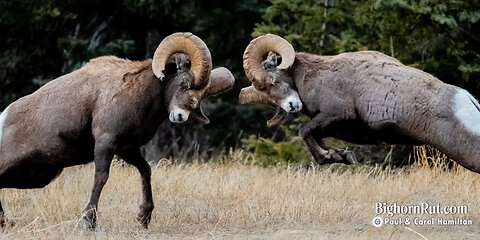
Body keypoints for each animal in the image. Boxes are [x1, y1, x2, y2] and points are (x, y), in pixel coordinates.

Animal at [0, 31, 234, 229]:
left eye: (201, 95)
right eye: (184, 84)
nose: (180, 116)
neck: (136, 93)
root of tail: (4, 117)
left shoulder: (127, 149)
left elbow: (146, 171)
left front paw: (144, 218)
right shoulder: (106, 142)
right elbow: (101, 177)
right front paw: (88, 222)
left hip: (38, 176)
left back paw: (5, 223)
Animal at [242, 33, 480, 172]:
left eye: (273, 80)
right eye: (268, 96)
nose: (291, 106)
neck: (311, 76)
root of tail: (466, 98)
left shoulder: (336, 114)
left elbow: (304, 131)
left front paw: (333, 156)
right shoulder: (329, 125)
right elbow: (313, 135)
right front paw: (341, 156)